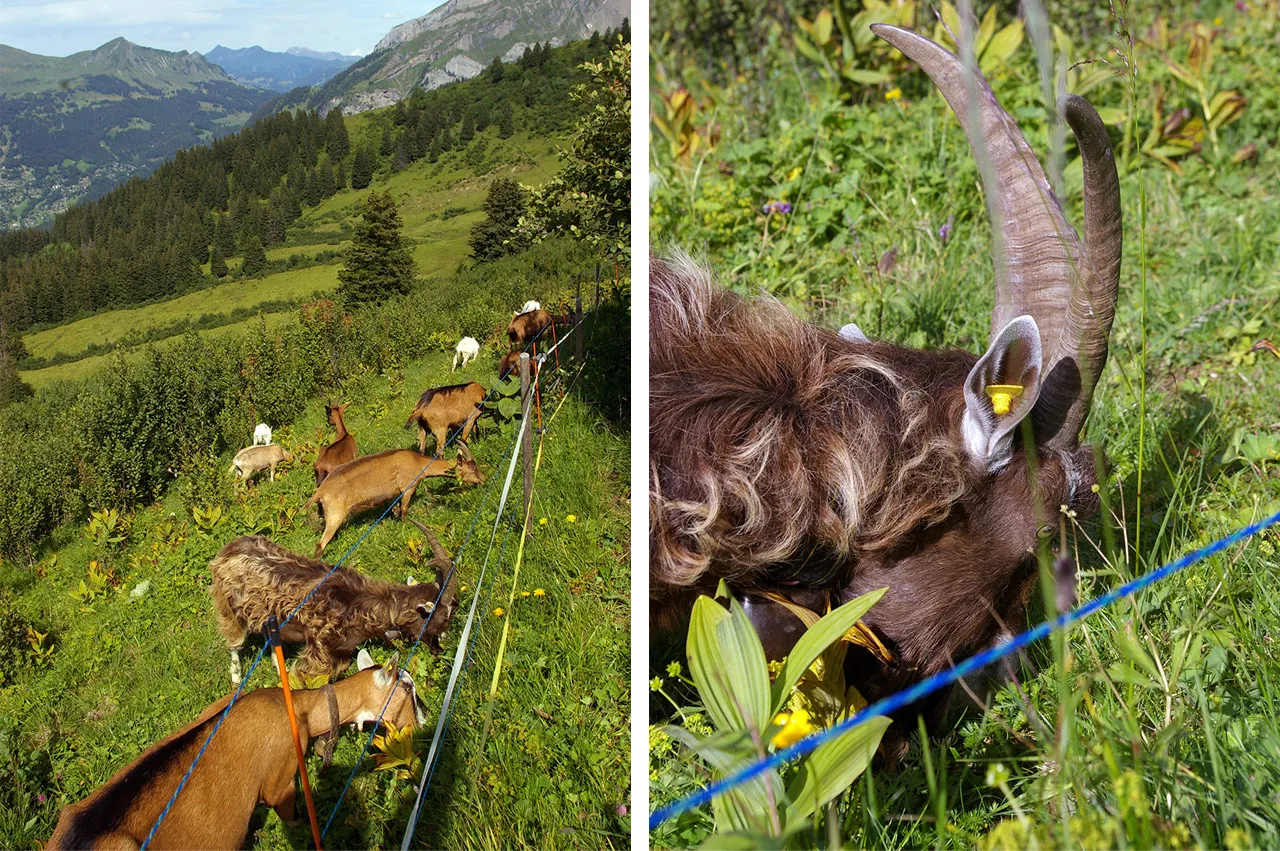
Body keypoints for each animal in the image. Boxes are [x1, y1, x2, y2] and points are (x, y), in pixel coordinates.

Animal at [212, 534, 463, 680]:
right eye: (444, 617)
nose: (444, 644)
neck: (357, 605)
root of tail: (225, 551)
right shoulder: (319, 650)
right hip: (227, 605)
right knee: (234, 642)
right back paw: (236, 678)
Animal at [302, 445, 481, 557]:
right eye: (472, 468)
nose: (482, 480)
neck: (418, 462)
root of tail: (321, 490)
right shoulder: (408, 487)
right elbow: (404, 510)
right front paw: (404, 527)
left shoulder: (395, 494)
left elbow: (395, 509)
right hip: (336, 513)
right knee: (320, 544)